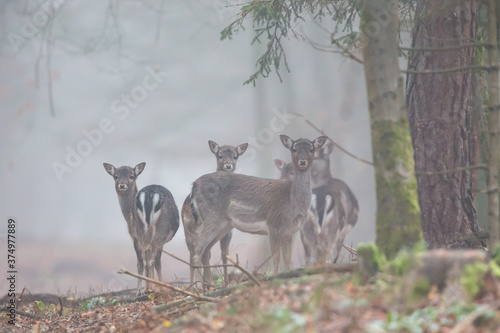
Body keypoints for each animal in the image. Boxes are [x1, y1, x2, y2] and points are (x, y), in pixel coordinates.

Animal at [102, 161, 179, 294]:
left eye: (131, 176)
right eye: (116, 176)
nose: (122, 185)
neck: (128, 216)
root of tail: (149, 196)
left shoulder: (135, 236)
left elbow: (143, 260)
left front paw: (145, 288)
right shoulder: (139, 237)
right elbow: (154, 260)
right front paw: (156, 287)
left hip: (143, 231)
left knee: (145, 258)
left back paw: (145, 288)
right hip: (159, 230)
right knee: (150, 258)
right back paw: (148, 288)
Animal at [182, 139, 248, 286]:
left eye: (235, 156)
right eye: (220, 155)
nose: (228, 165)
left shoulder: (228, 232)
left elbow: (224, 255)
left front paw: (225, 282)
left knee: (204, 253)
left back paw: (206, 283)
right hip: (190, 233)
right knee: (193, 255)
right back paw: (194, 285)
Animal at [188, 134, 328, 284]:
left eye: (311, 149)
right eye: (294, 149)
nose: (302, 161)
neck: (293, 203)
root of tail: (194, 185)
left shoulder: (289, 232)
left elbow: (287, 258)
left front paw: (287, 276)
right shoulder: (273, 224)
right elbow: (276, 257)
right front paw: (274, 277)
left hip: (223, 225)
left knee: (205, 251)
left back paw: (207, 285)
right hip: (210, 217)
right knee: (197, 250)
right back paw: (197, 286)